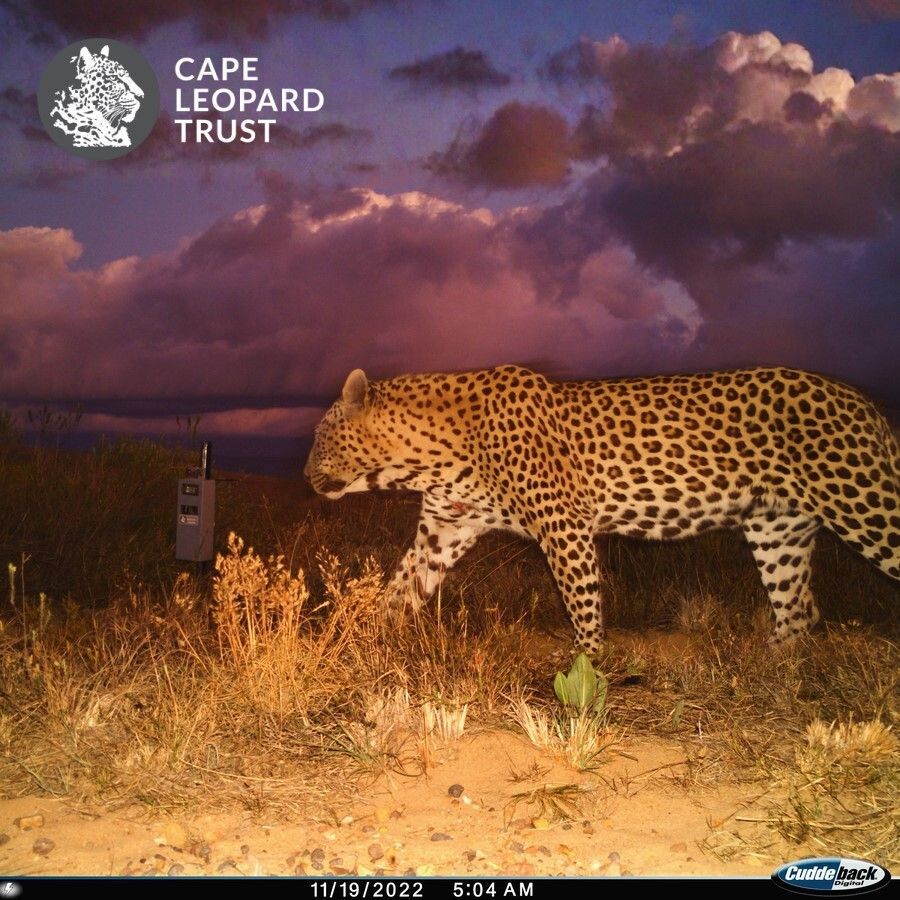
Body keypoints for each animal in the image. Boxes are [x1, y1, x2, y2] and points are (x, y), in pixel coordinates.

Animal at [304, 365, 899, 651]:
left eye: (317, 437)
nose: (305, 475)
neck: (424, 456)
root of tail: (868, 403)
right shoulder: (444, 528)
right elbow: (399, 589)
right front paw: (359, 643)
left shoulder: (564, 526)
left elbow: (583, 604)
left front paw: (589, 670)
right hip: (779, 530)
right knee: (798, 610)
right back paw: (764, 675)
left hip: (866, 505)